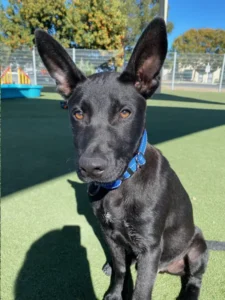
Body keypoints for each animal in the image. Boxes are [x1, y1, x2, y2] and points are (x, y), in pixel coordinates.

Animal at [35, 18, 207, 300]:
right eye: (77, 113)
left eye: (125, 113)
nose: (90, 168)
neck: (122, 184)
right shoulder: (110, 235)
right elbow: (120, 269)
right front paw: (115, 294)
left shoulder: (149, 247)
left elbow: (141, 290)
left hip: (199, 246)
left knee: (194, 278)